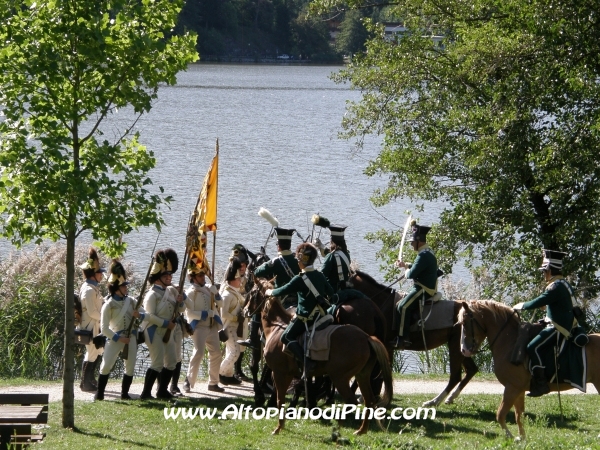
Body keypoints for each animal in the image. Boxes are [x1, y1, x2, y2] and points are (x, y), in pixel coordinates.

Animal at [246, 284, 392, 434]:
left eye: (251, 292)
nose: (246, 310)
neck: (276, 327)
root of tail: (366, 337)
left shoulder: (279, 372)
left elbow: (280, 398)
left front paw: (278, 424)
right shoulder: (291, 373)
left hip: (339, 377)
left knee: (351, 400)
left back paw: (338, 428)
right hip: (362, 375)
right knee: (369, 400)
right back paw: (360, 430)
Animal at [346, 270, 478, 408]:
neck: (383, 303)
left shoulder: (385, 346)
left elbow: (380, 371)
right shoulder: (386, 347)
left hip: (455, 347)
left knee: (455, 377)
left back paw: (433, 401)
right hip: (462, 349)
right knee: (471, 370)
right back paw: (450, 398)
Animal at [460, 298, 600, 440]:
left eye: (464, 323)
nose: (464, 350)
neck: (510, 341)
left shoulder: (512, 387)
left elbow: (500, 414)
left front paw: (510, 436)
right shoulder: (519, 390)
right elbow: (519, 416)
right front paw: (522, 438)